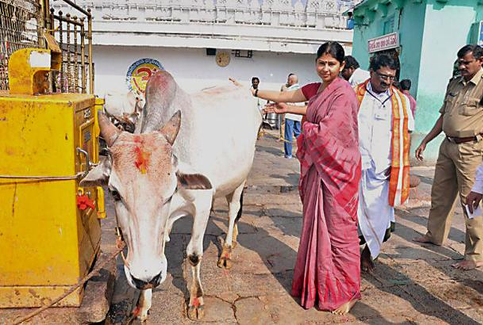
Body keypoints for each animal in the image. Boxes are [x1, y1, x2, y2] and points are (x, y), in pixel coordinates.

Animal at [80, 71, 260, 318]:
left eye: (172, 189)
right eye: (114, 193)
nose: (143, 276)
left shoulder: (201, 205)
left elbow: (194, 254)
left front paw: (196, 300)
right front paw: (143, 304)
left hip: (241, 179)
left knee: (233, 211)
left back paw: (226, 251)